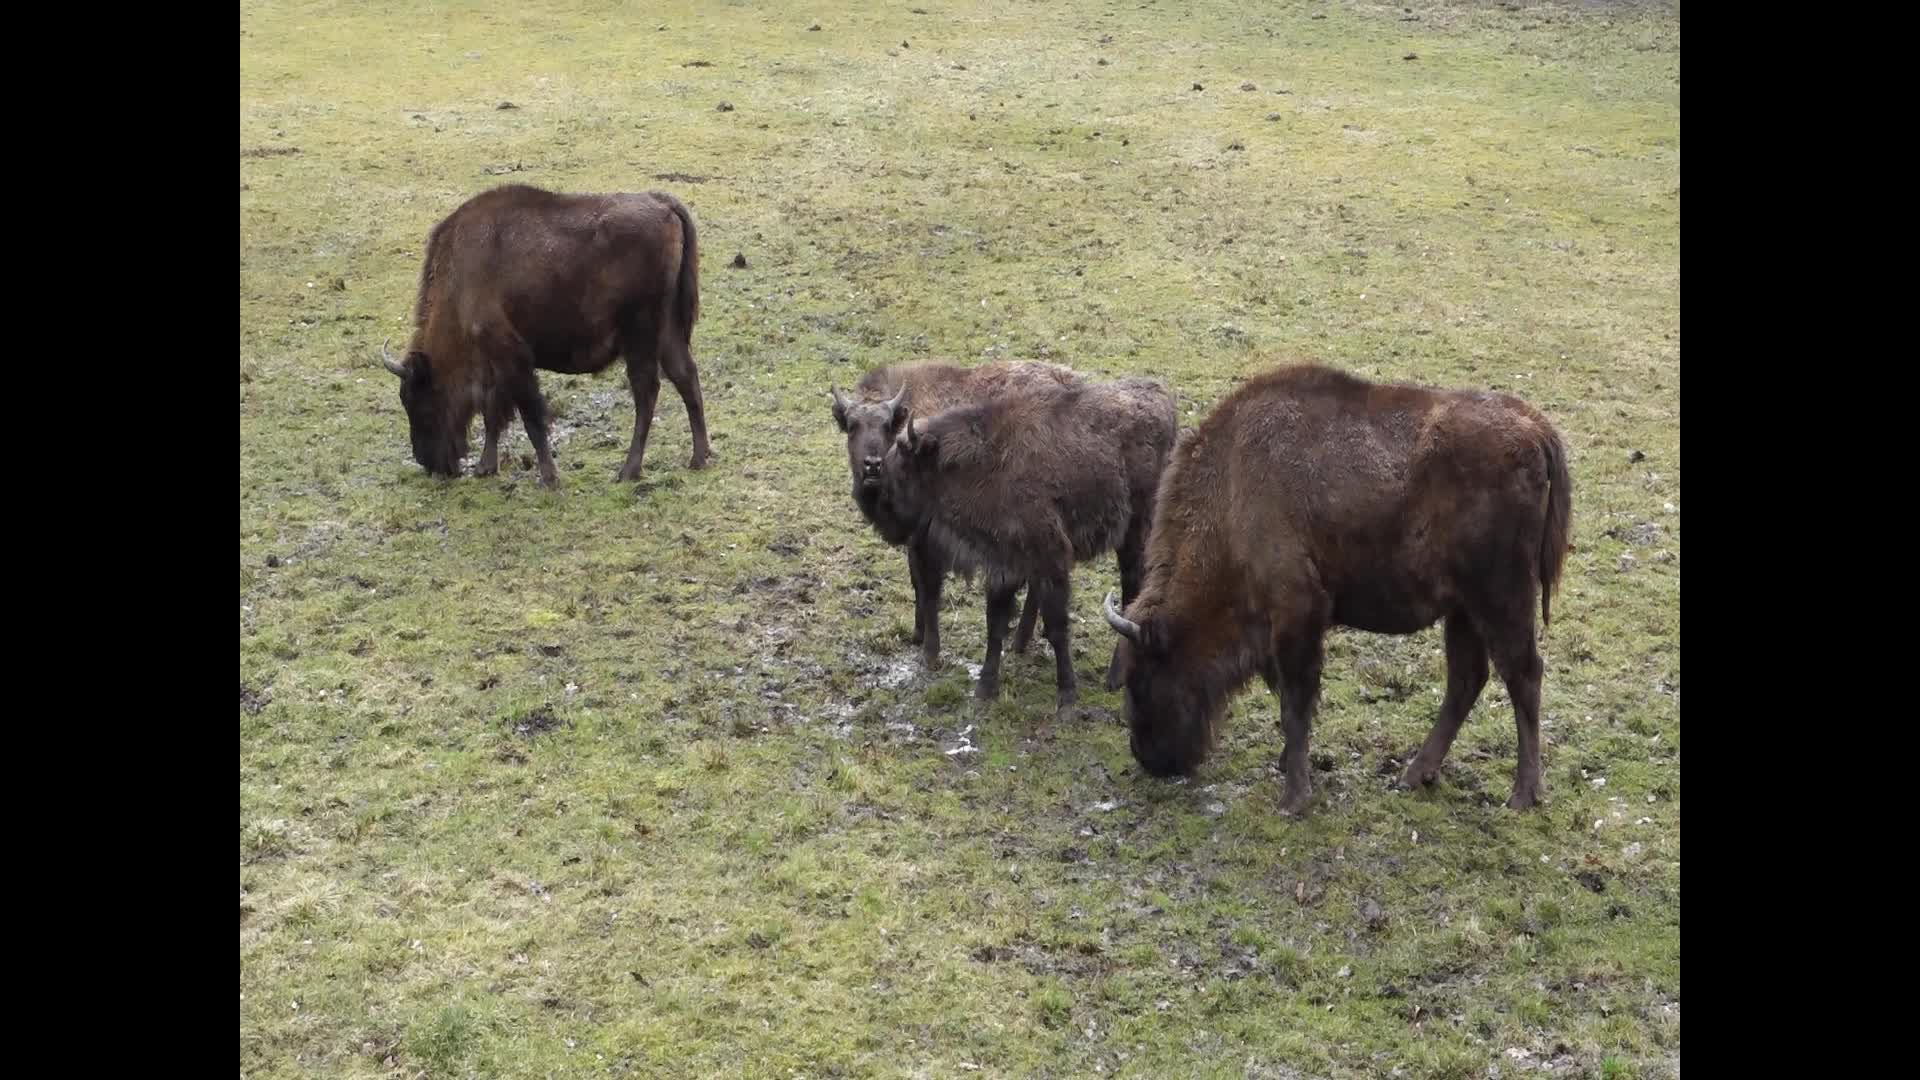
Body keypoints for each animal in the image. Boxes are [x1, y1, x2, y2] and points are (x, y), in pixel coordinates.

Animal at [381, 184, 712, 486]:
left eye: (422, 402)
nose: (428, 463)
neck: (459, 283)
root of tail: (662, 203)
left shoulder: (512, 358)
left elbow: (531, 417)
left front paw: (550, 477)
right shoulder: (494, 363)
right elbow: (493, 411)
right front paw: (486, 467)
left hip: (640, 338)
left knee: (647, 392)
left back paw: (629, 471)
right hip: (668, 333)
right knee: (686, 377)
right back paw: (699, 458)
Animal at [1102, 363, 1573, 814]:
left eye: (1143, 677)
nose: (1148, 759)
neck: (1234, 488)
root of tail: (1535, 429)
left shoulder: (1297, 613)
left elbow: (1295, 701)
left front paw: (1293, 798)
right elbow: (1292, 698)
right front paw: (1288, 768)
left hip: (1501, 598)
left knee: (1523, 674)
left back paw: (1523, 795)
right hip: (1463, 609)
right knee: (1467, 678)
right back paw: (1415, 774)